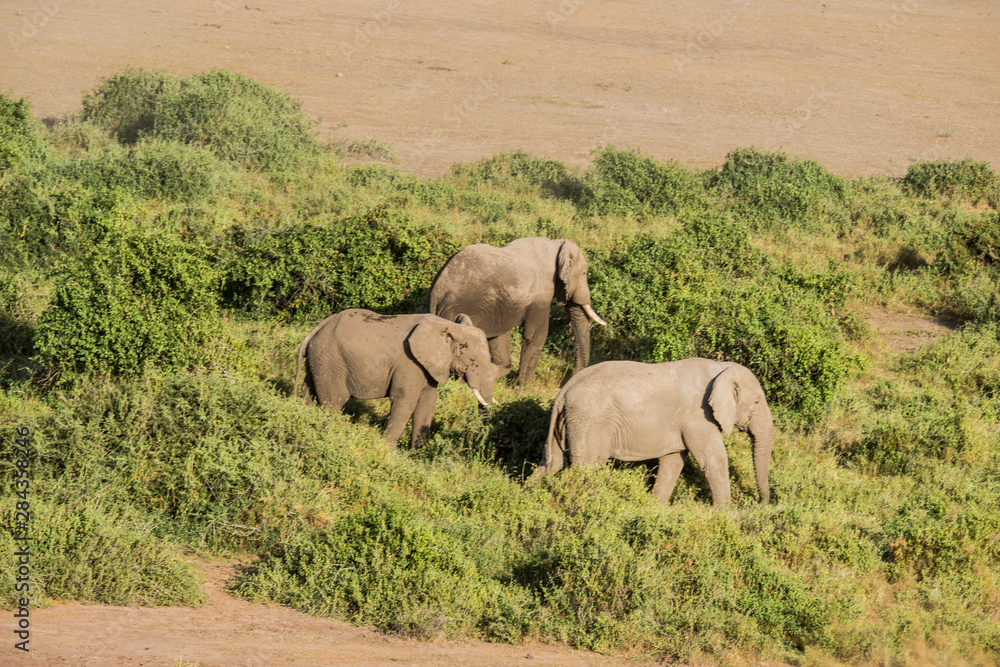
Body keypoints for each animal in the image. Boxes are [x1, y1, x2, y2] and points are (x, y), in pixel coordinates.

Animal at [294, 309, 497, 448]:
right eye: (472, 360)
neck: (448, 326)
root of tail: (319, 326)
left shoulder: (427, 367)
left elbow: (427, 403)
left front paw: (416, 454)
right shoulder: (409, 363)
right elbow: (404, 401)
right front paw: (387, 449)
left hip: (318, 360)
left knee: (308, 390)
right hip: (331, 361)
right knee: (334, 401)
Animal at [429, 237, 606, 387]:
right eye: (584, 273)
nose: (566, 380)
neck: (556, 244)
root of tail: (436, 292)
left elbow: (501, 336)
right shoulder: (541, 295)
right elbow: (536, 335)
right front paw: (524, 389)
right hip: (459, 309)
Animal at [527, 357, 774, 506]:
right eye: (756, 402)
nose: (758, 502)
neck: (720, 367)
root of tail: (564, 391)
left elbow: (673, 461)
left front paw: (656, 508)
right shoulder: (699, 415)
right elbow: (713, 460)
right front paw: (725, 515)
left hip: (568, 423)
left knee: (550, 465)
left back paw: (528, 493)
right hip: (589, 422)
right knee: (585, 469)